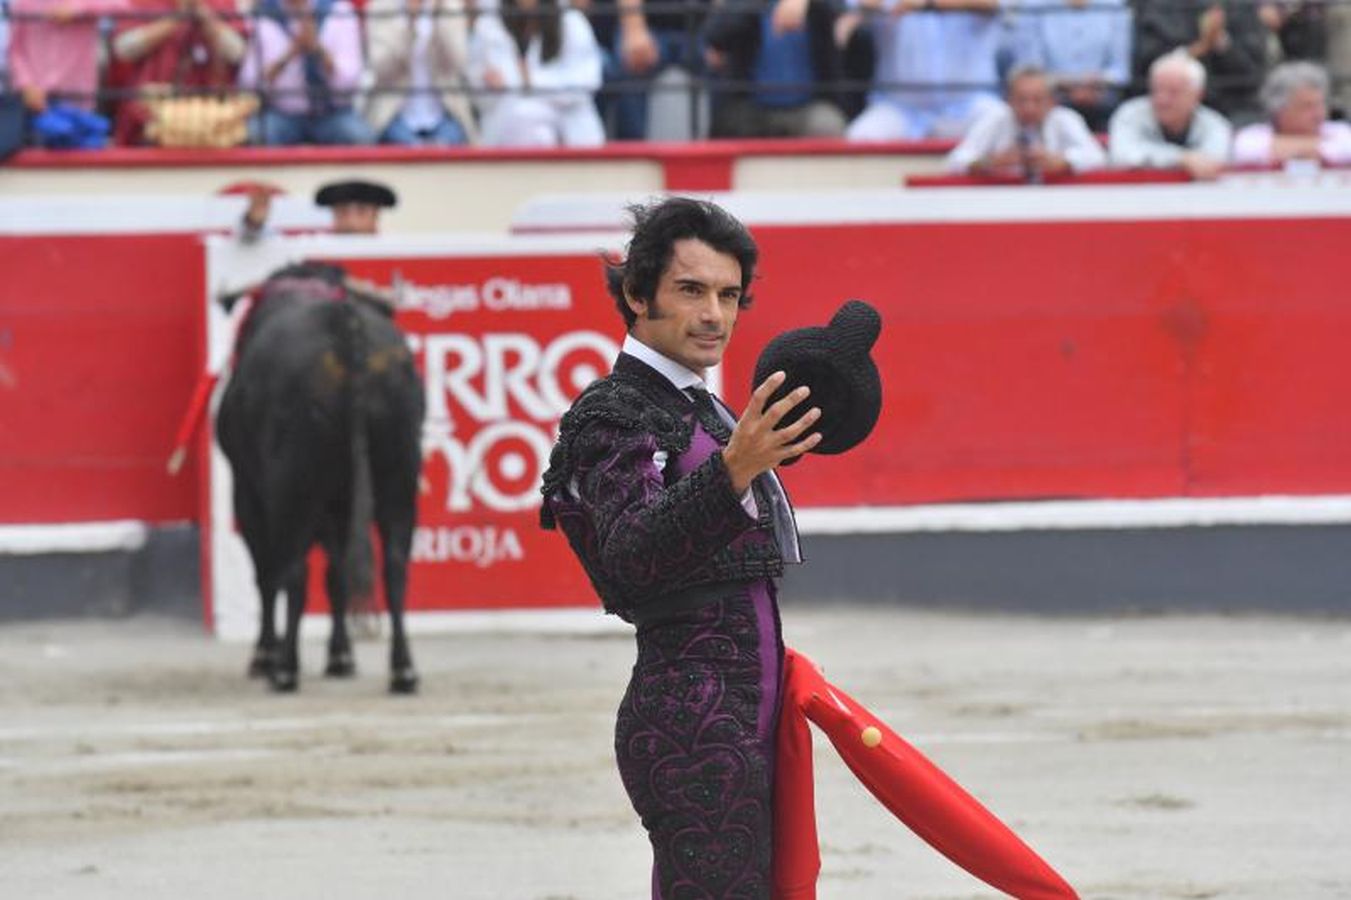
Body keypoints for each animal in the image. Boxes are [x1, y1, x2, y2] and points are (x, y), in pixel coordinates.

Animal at [216, 263, 421, 689]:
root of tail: (345, 326)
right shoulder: (337, 505)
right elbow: (337, 573)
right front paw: (341, 655)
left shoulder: (248, 492)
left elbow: (269, 573)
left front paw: (265, 654)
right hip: (400, 480)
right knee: (394, 566)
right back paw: (403, 669)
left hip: (290, 489)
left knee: (291, 570)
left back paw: (284, 669)